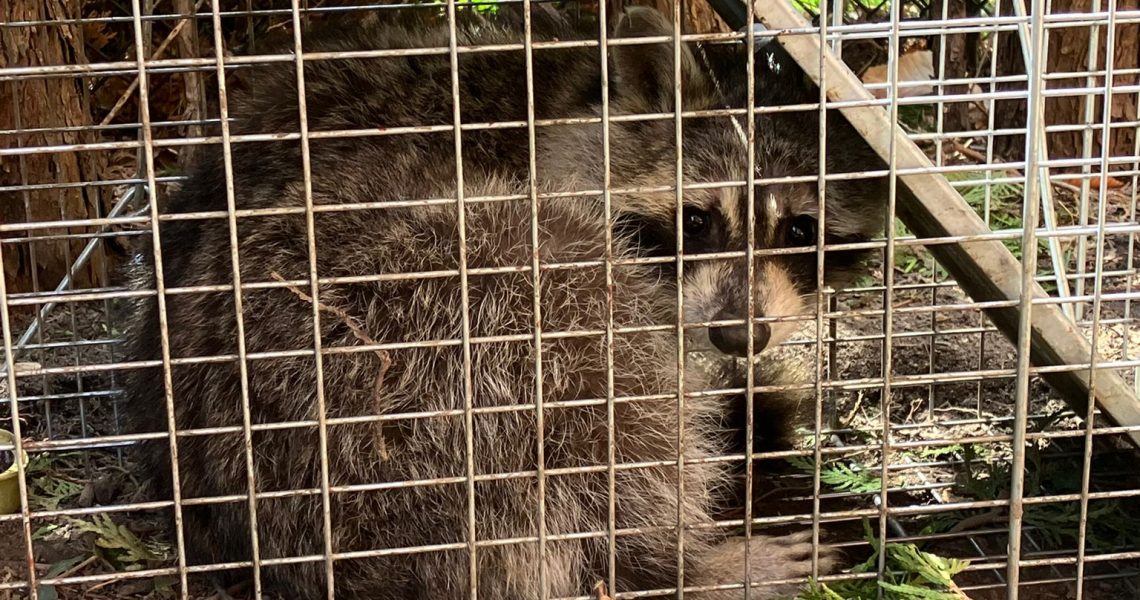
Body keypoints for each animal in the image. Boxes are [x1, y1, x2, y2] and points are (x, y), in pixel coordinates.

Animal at [122, 6, 886, 598]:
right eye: (696, 220)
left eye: (802, 230)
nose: (737, 336)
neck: (561, 96)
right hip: (386, 343)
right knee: (604, 378)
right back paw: (675, 567)